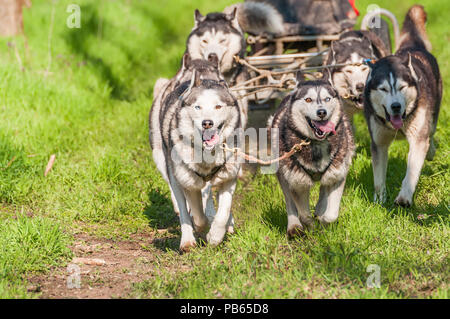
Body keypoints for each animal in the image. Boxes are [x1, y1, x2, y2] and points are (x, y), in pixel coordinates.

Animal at [150, 57, 243, 252]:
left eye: (218, 106)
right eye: (197, 107)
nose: (207, 123)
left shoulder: (229, 176)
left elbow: (223, 211)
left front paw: (215, 235)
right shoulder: (186, 180)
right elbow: (197, 216)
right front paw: (200, 229)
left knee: (208, 196)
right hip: (163, 161)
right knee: (181, 203)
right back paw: (187, 238)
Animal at [270, 73, 356, 238]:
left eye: (327, 99)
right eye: (308, 99)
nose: (321, 112)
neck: (316, 143)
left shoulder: (338, 173)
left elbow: (331, 215)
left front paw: (323, 220)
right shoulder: (298, 182)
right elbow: (304, 215)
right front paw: (310, 227)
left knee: (324, 189)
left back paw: (320, 209)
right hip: (284, 173)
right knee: (289, 201)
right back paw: (294, 226)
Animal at [364, 5, 442, 208]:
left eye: (401, 87)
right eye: (383, 89)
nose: (396, 106)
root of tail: (412, 47)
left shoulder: (417, 138)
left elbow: (411, 171)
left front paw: (404, 198)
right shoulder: (378, 142)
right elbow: (378, 179)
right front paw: (379, 201)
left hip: (433, 113)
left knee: (430, 132)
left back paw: (431, 151)